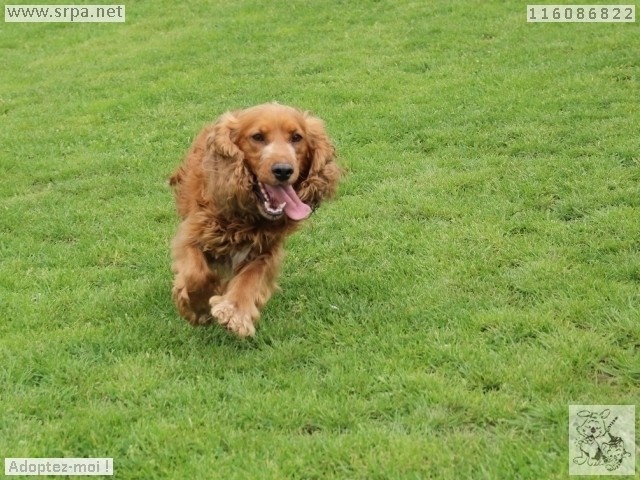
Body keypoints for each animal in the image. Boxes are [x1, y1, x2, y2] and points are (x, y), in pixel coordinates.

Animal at [169, 103, 340, 336]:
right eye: (257, 137)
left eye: (297, 137)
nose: (283, 170)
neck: (247, 216)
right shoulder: (193, 233)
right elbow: (198, 274)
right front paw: (199, 308)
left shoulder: (266, 249)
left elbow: (251, 279)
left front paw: (236, 311)